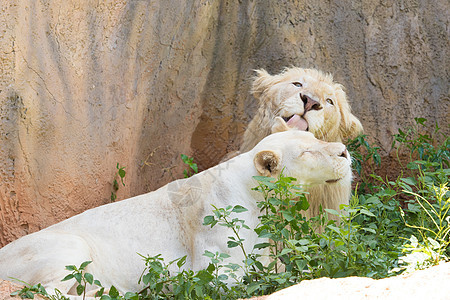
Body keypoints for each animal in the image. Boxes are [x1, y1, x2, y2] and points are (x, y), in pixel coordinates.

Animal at [0, 130, 352, 296]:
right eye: (307, 151)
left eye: (315, 137)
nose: (344, 151)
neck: (251, 191)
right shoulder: (214, 253)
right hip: (65, 245)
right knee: (46, 290)